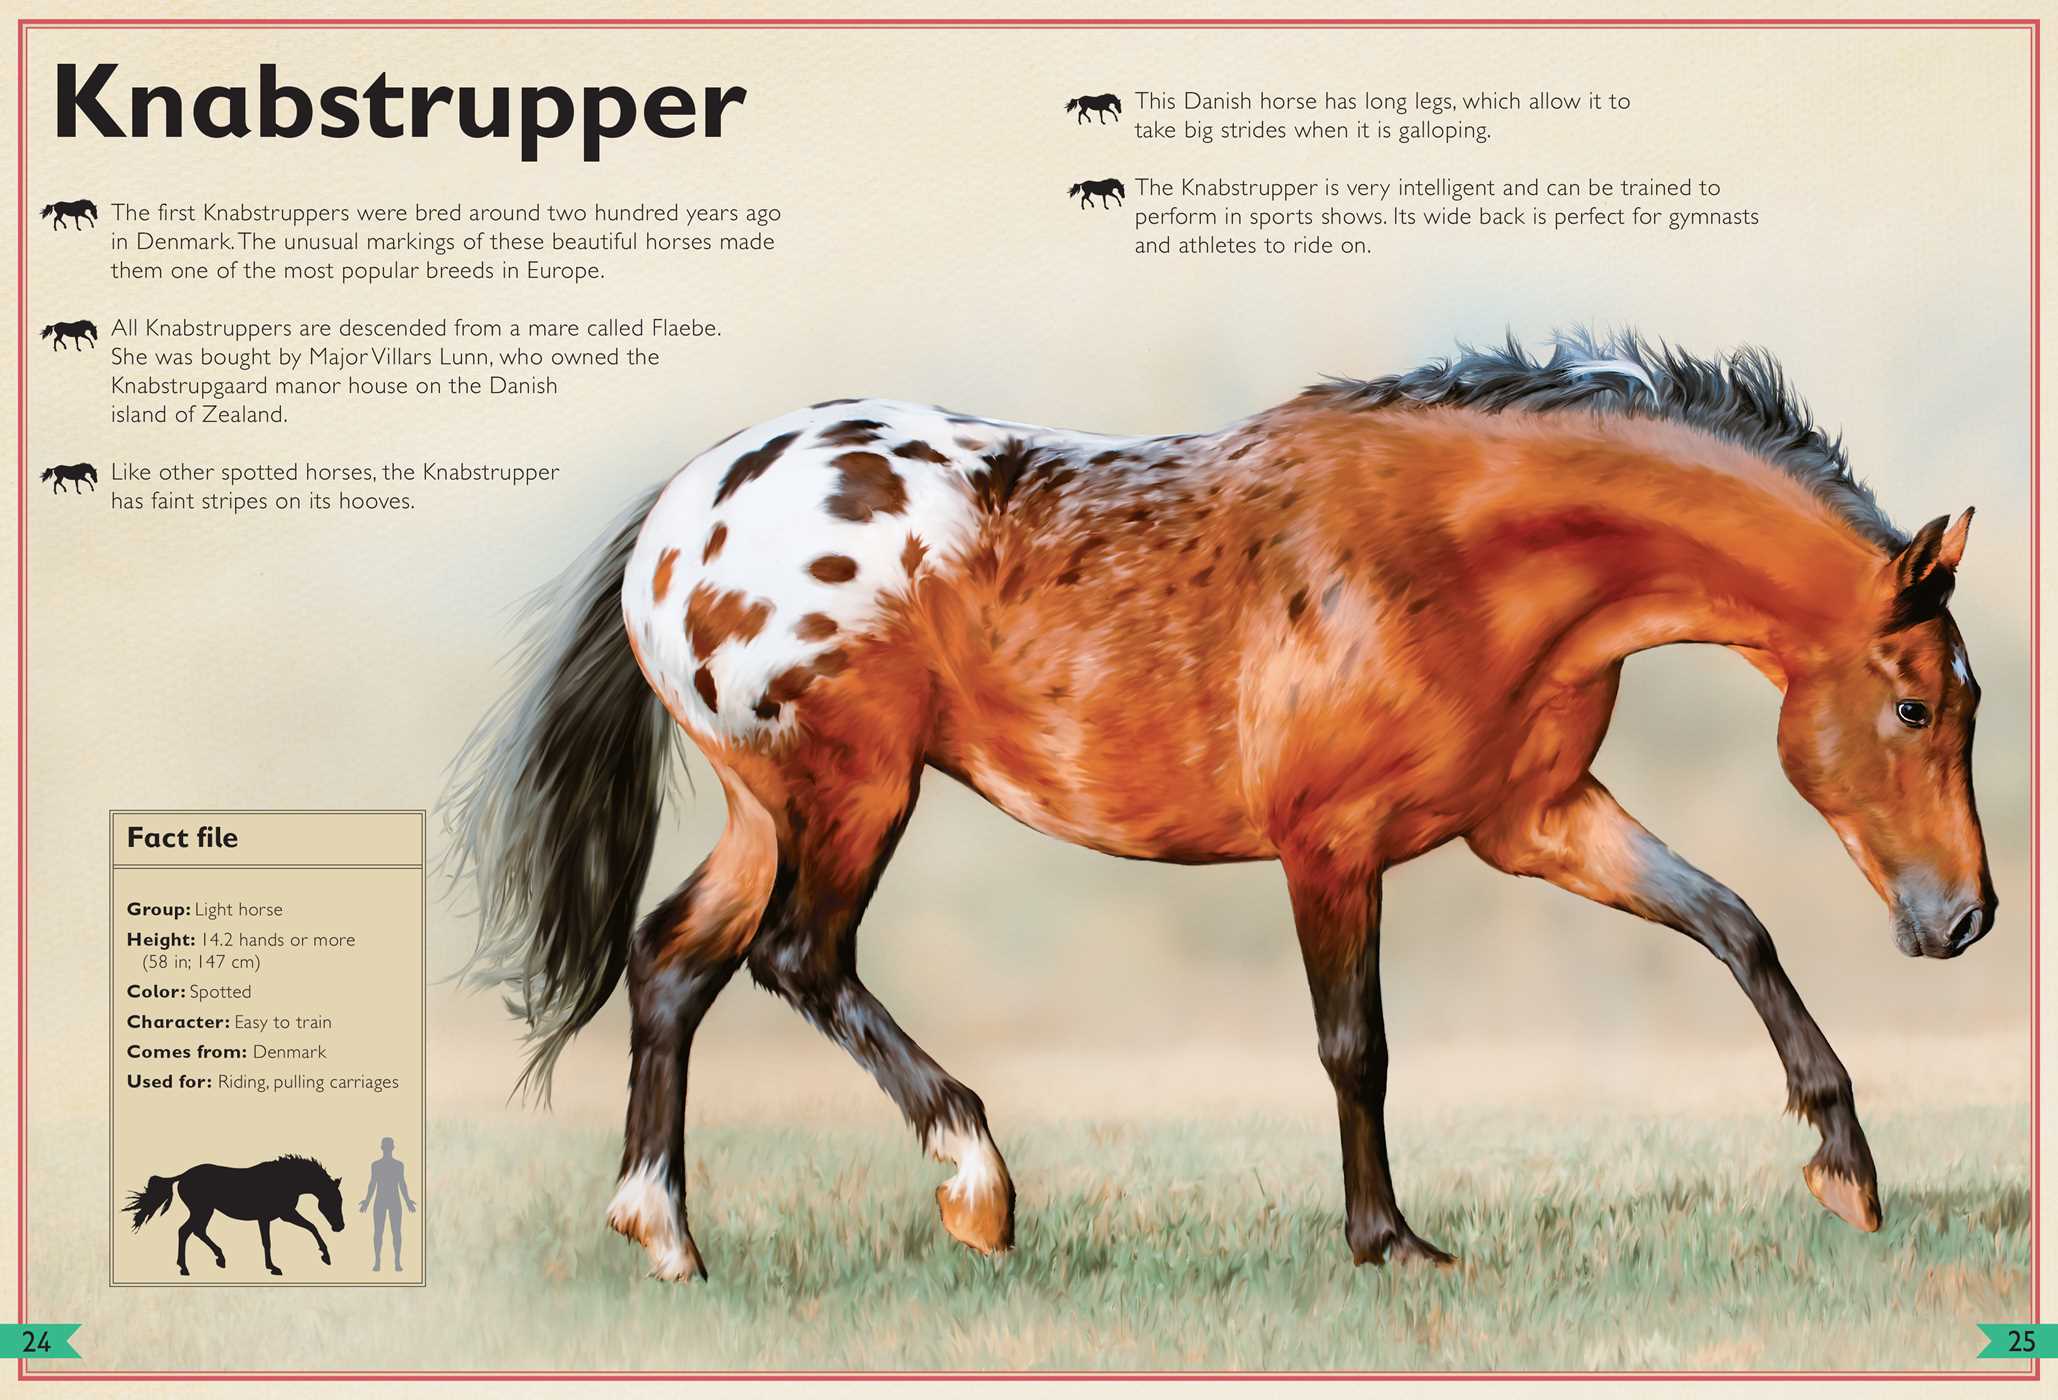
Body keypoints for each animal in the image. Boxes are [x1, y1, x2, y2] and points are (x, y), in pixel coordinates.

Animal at [126, 1155, 345, 1276]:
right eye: (332, 1201)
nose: (340, 1227)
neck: (284, 1179)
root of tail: (184, 1175)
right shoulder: (271, 1217)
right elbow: (268, 1242)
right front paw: (273, 1268)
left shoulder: (285, 1214)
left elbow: (311, 1226)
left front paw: (325, 1256)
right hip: (202, 1210)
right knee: (186, 1231)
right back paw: (185, 1268)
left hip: (205, 1211)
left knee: (196, 1231)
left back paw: (219, 1259)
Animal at [449, 330, 1993, 1282]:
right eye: (1918, 706)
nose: (1964, 919)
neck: (1461, 556)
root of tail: (687, 505)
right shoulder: (1330, 845)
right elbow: (1355, 1046)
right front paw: (1387, 1241)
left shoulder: (1535, 818)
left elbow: (1734, 926)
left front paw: (1845, 1170)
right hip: (853, 789)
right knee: (795, 958)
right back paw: (976, 1185)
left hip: (765, 807)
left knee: (671, 964)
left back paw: (667, 1237)